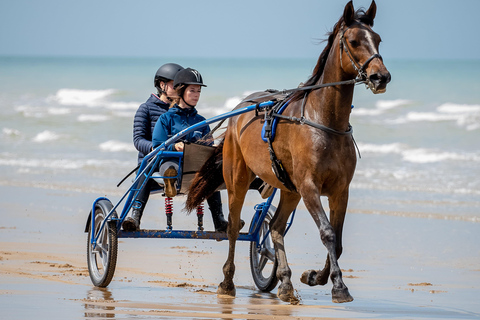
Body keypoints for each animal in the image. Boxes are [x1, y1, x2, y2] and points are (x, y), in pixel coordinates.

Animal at [185, 0, 390, 304]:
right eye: (353, 41)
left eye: (377, 39)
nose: (381, 77)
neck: (325, 122)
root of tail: (240, 109)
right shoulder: (309, 187)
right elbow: (328, 233)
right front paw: (338, 286)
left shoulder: (340, 190)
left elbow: (338, 241)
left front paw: (314, 276)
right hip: (239, 179)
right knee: (233, 226)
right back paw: (227, 281)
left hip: (289, 190)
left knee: (275, 228)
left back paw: (284, 283)